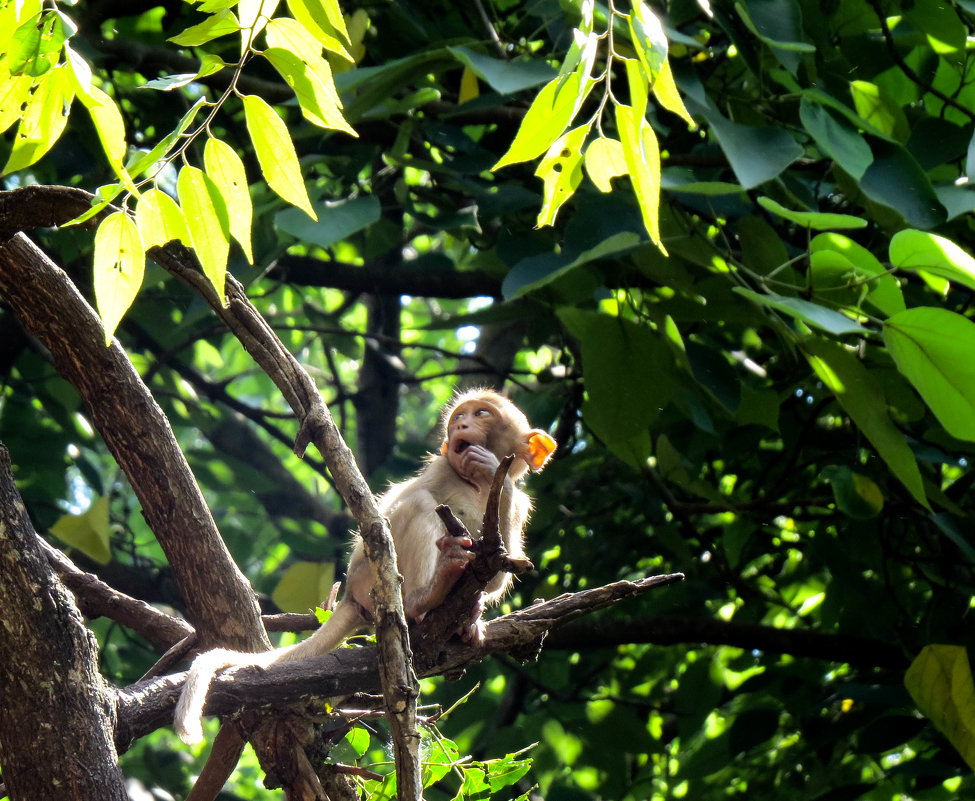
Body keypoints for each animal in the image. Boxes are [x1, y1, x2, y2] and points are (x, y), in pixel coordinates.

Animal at [175, 388, 556, 744]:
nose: (461, 426)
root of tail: (350, 598)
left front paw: (493, 470)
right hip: (365, 577)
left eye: (481, 414)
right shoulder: (441, 469)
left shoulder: (519, 506)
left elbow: (499, 572)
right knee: (418, 504)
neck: (476, 488)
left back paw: (461, 618)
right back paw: (425, 598)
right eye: (459, 417)